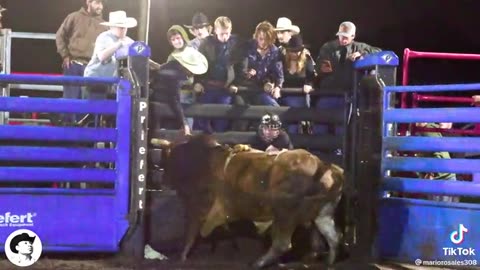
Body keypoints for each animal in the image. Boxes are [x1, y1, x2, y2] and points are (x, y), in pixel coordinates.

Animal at [152, 134, 344, 268]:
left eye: (164, 158)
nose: (164, 180)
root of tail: (323, 166)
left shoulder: (197, 205)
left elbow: (191, 232)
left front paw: (182, 257)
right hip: (323, 213)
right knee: (331, 237)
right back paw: (328, 261)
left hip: (285, 213)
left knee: (282, 243)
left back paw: (259, 263)